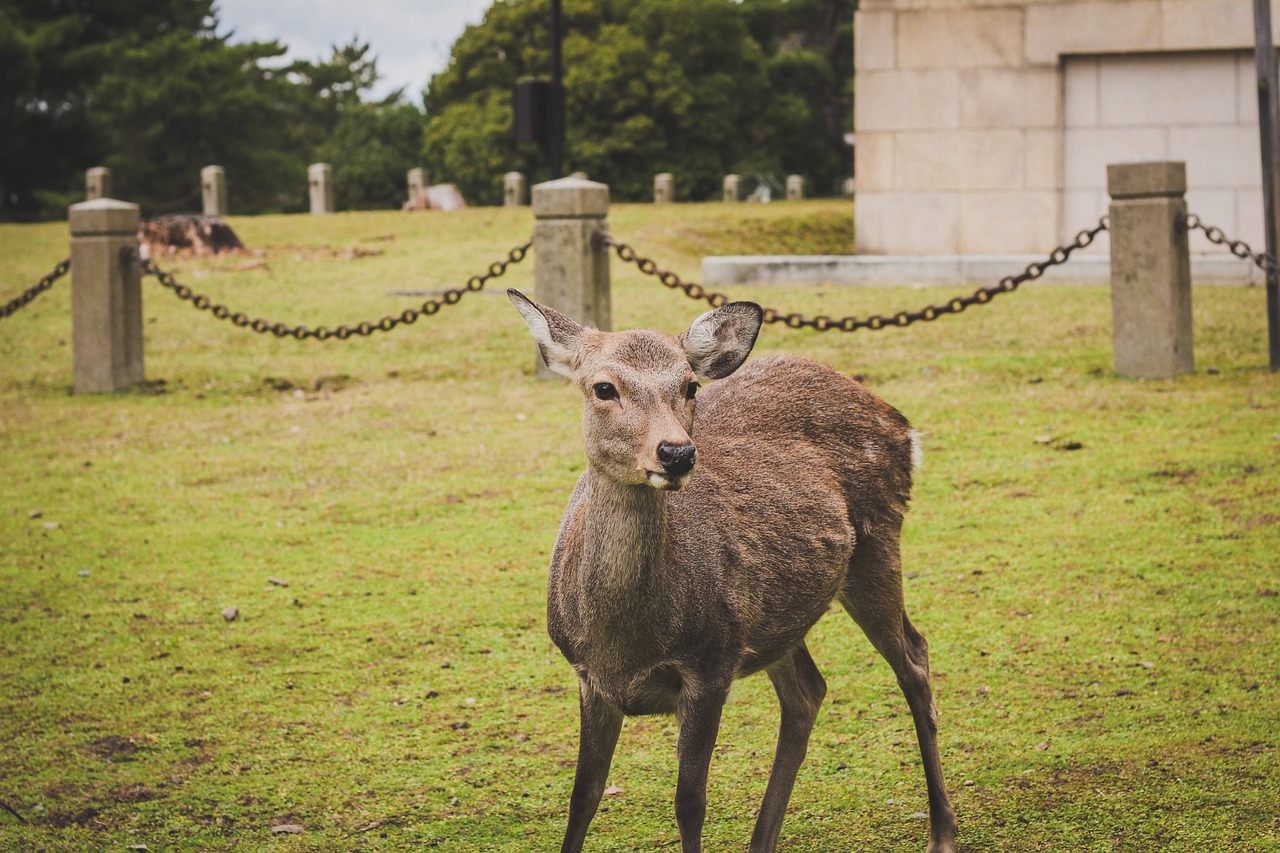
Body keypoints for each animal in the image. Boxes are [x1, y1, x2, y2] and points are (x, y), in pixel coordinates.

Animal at [504, 286, 957, 850]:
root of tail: (901, 422)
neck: (625, 643)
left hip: (877, 540)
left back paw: (943, 831)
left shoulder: (711, 662)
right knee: (808, 692)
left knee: (913, 658)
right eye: (603, 387)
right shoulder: (587, 674)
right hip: (776, 616)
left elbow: (689, 803)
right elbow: (583, 797)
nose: (676, 453)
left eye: (689, 384)